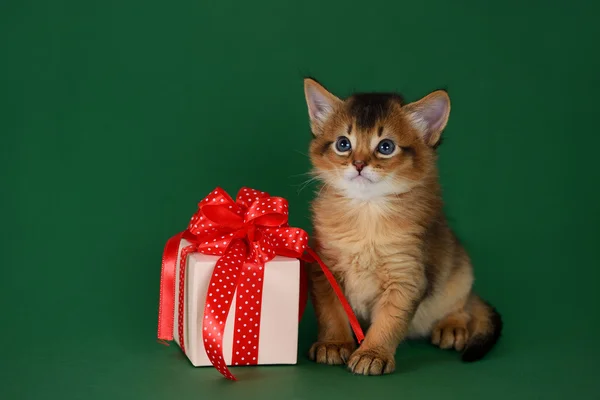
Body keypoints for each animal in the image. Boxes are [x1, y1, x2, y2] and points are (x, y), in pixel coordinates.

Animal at [300, 77, 502, 376]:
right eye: (343, 143)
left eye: (385, 147)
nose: (358, 164)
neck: (366, 213)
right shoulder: (324, 267)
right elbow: (331, 311)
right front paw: (334, 343)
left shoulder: (406, 275)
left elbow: (389, 320)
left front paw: (373, 353)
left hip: (459, 269)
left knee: (461, 302)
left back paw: (452, 326)